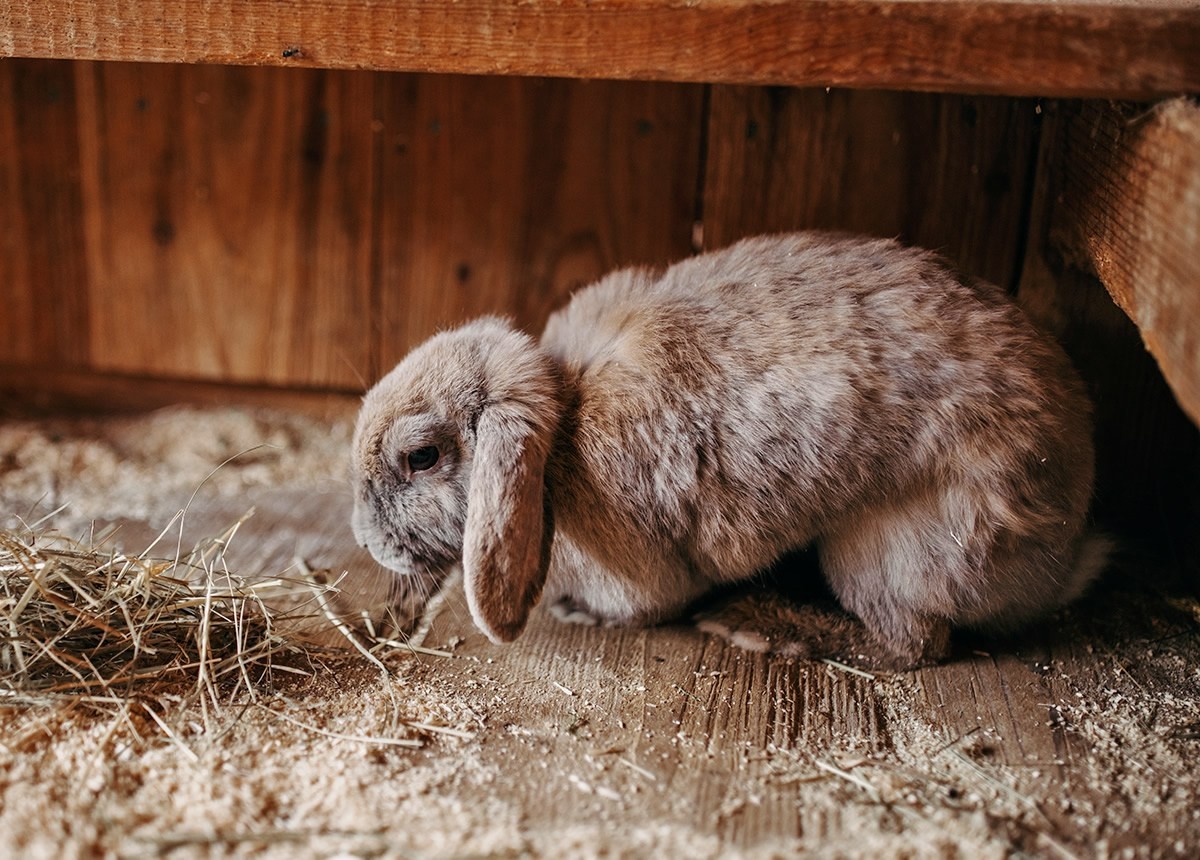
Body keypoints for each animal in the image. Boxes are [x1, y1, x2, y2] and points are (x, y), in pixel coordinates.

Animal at [351, 232, 1105, 667]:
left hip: (884, 551)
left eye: (422, 457)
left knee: (912, 645)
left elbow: (644, 606)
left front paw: (579, 612)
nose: (364, 541)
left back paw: (759, 626)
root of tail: (1063, 553)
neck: (558, 441)